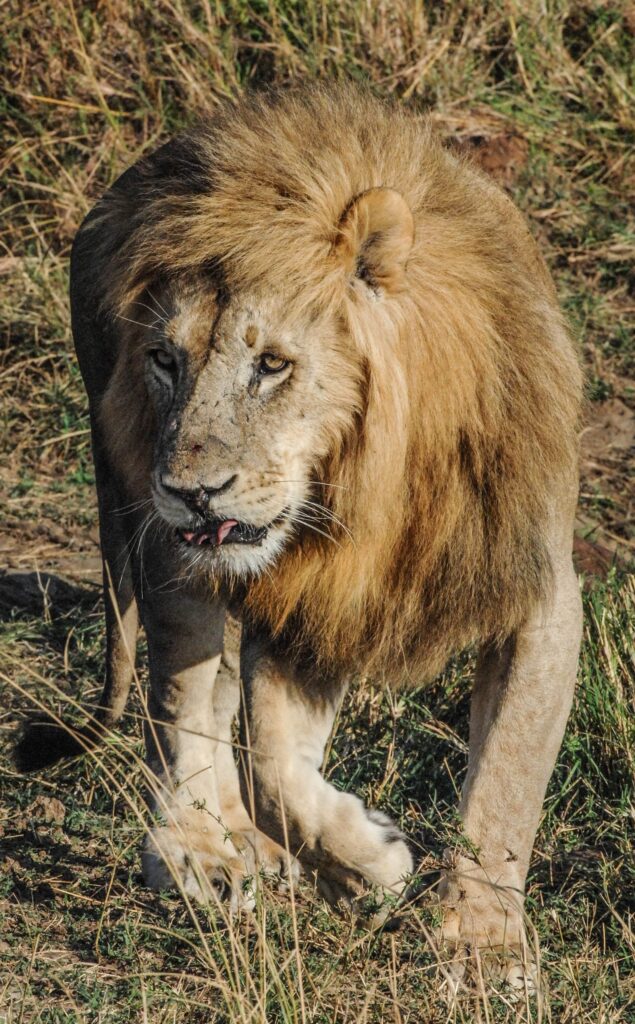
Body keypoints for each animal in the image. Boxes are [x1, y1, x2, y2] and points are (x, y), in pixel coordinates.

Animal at [17, 83, 582, 990]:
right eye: (165, 360)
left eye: (272, 365)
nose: (190, 491)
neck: (375, 482)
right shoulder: (300, 599)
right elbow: (274, 766)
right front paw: (370, 865)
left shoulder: (527, 584)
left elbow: (507, 774)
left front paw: (482, 941)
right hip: (163, 544)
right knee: (180, 704)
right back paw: (200, 850)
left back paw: (251, 849)